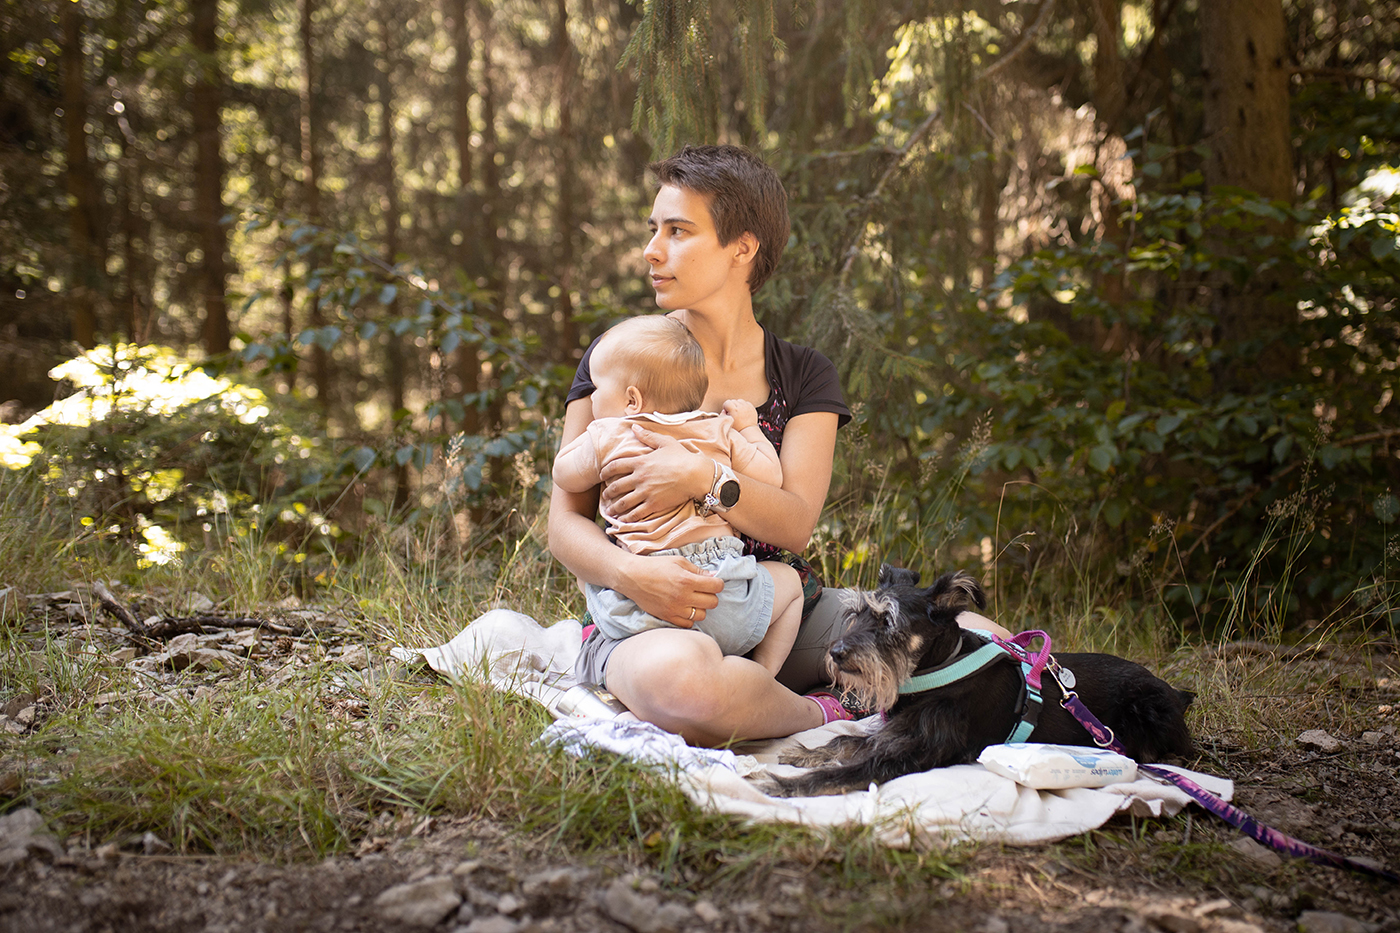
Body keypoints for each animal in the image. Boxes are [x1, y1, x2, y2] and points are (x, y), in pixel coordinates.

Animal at [764, 565, 1195, 797]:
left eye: (888, 621)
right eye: (857, 613)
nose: (836, 653)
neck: (936, 673)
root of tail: (1178, 694)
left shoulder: (918, 752)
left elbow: (849, 770)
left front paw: (788, 785)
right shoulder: (897, 733)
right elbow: (843, 741)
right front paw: (804, 752)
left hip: (1149, 707)